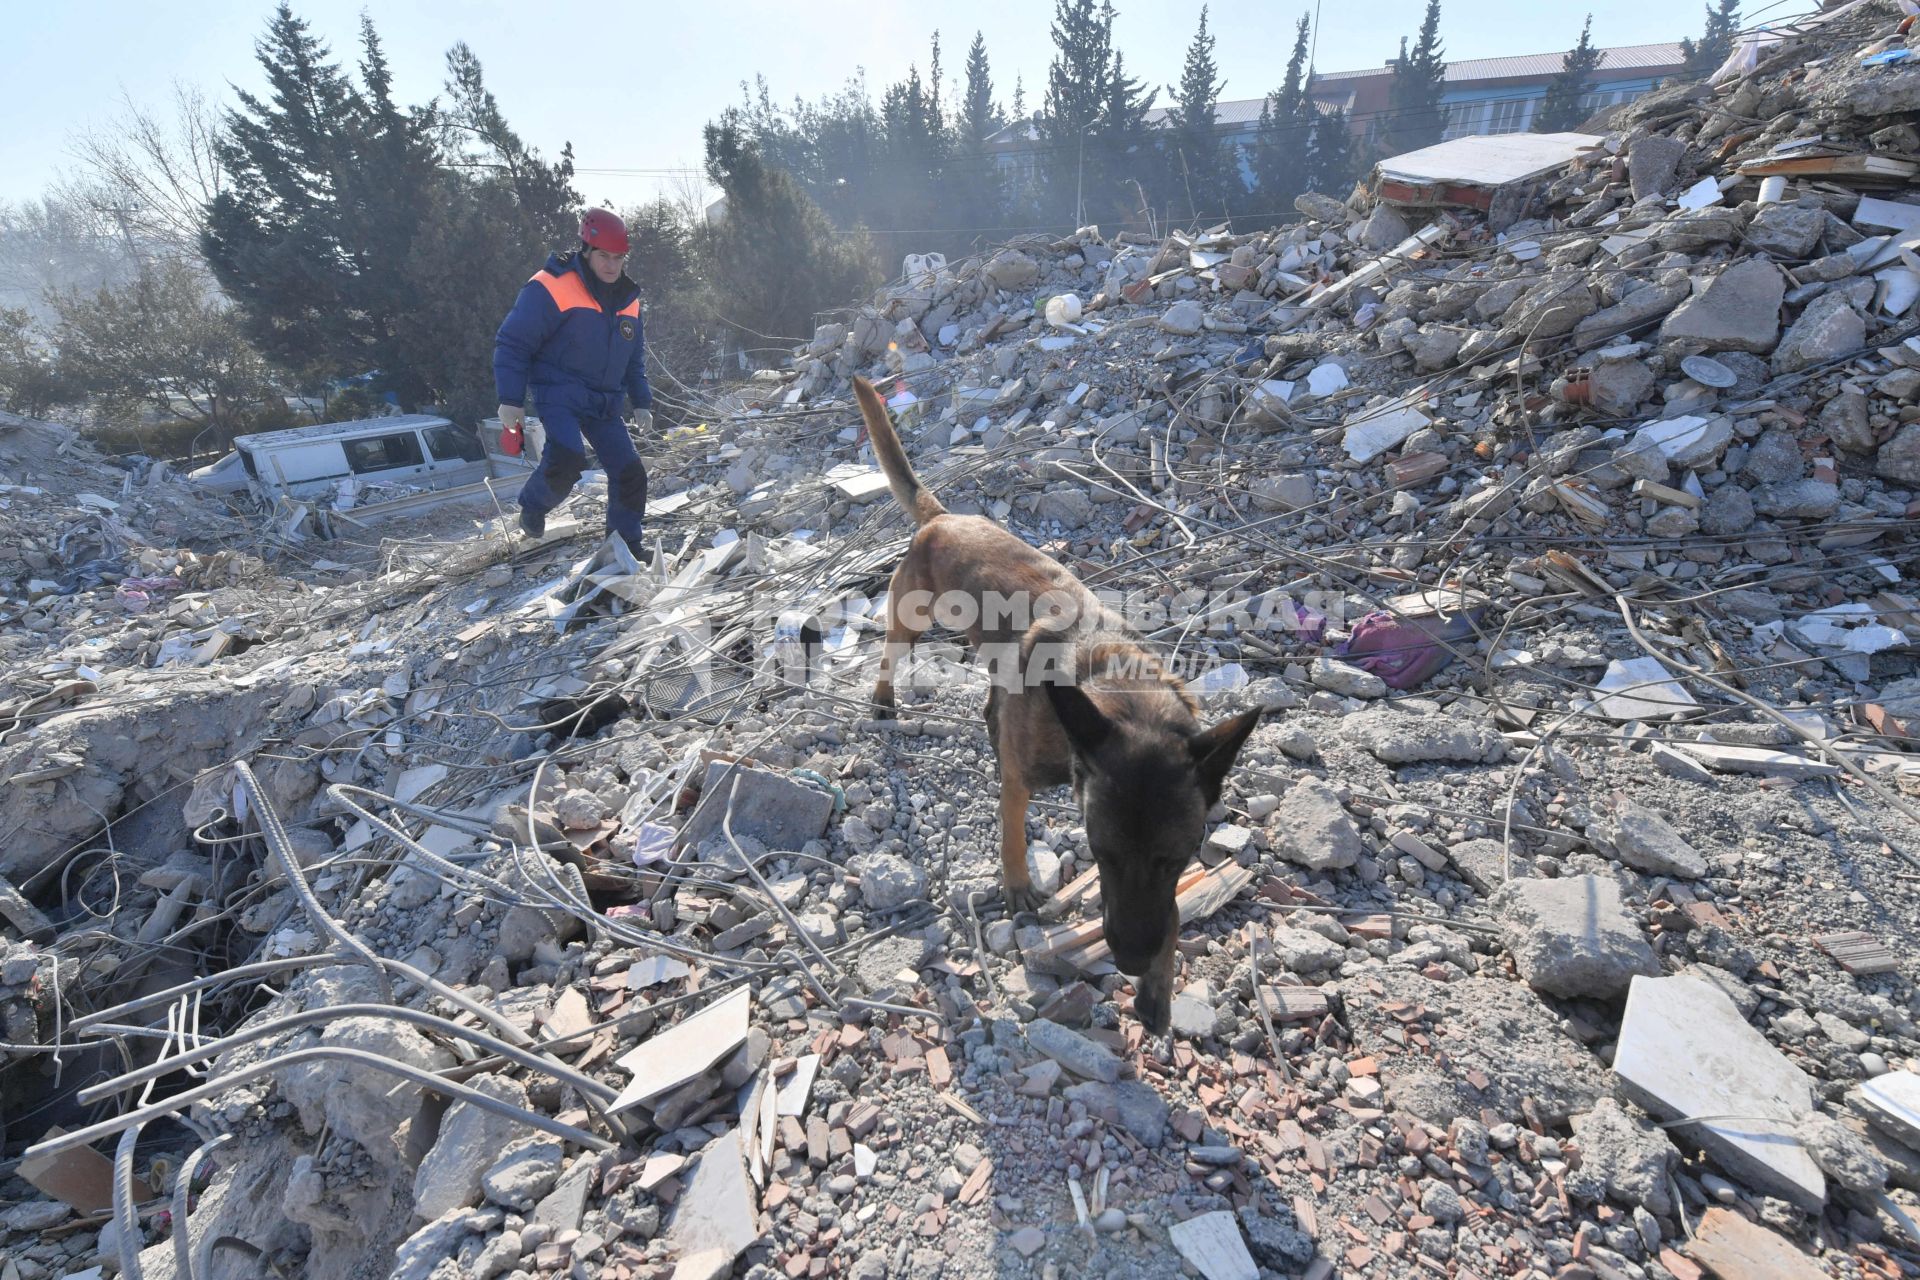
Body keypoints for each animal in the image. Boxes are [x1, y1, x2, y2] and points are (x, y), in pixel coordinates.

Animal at [856, 376, 1259, 1036]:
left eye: (1176, 859)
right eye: (1101, 854)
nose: (1129, 960)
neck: (1119, 692)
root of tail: (942, 518)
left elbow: (1172, 912)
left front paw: (1159, 986)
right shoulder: (1023, 782)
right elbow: (1012, 835)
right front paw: (1018, 886)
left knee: (991, 703)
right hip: (909, 618)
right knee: (891, 656)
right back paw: (885, 699)